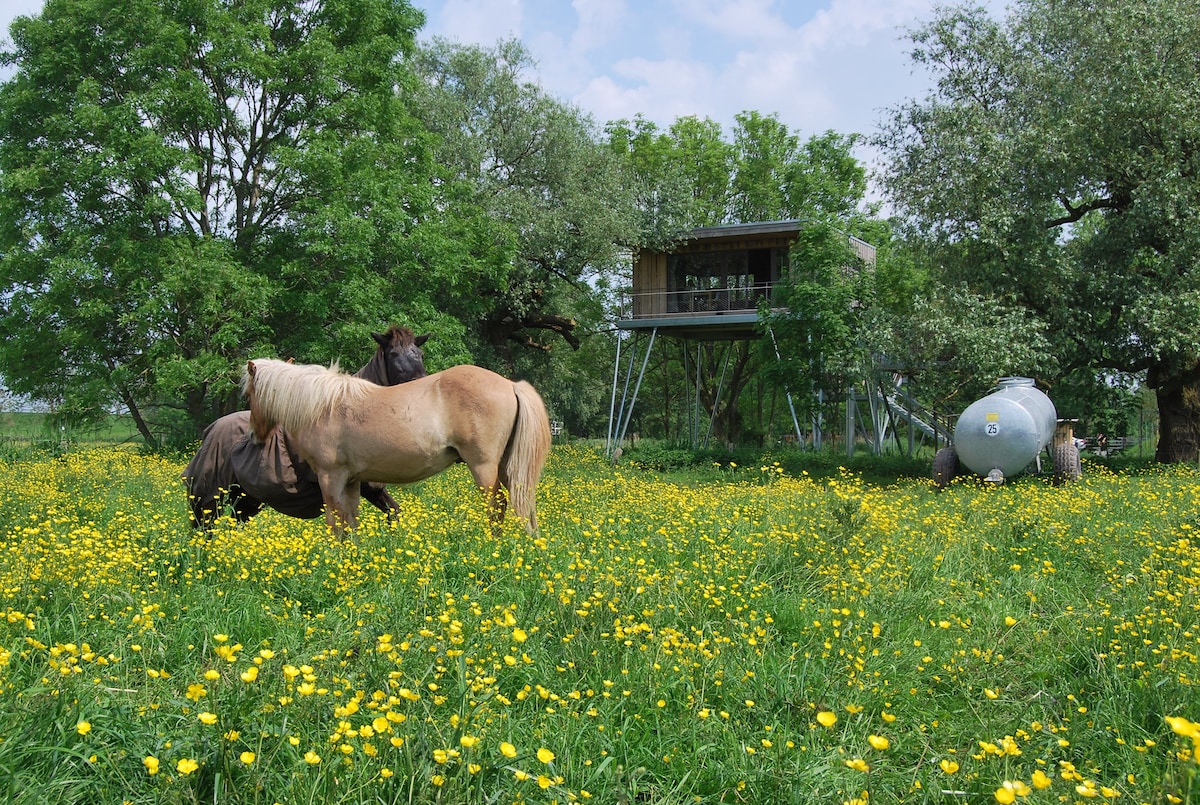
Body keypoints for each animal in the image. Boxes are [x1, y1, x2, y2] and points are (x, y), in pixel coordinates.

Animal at [184, 326, 429, 527]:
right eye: (393, 354)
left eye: (420, 354)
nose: (421, 382)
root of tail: (212, 429)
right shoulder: (361, 485)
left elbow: (393, 514)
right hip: (208, 496)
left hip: (246, 498)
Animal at [243, 357, 552, 535]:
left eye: (247, 393)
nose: (254, 436)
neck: (323, 407)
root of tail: (510, 384)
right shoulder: (351, 481)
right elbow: (351, 519)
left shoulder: (330, 477)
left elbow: (335, 521)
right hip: (507, 466)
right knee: (521, 502)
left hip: (484, 467)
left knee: (497, 506)